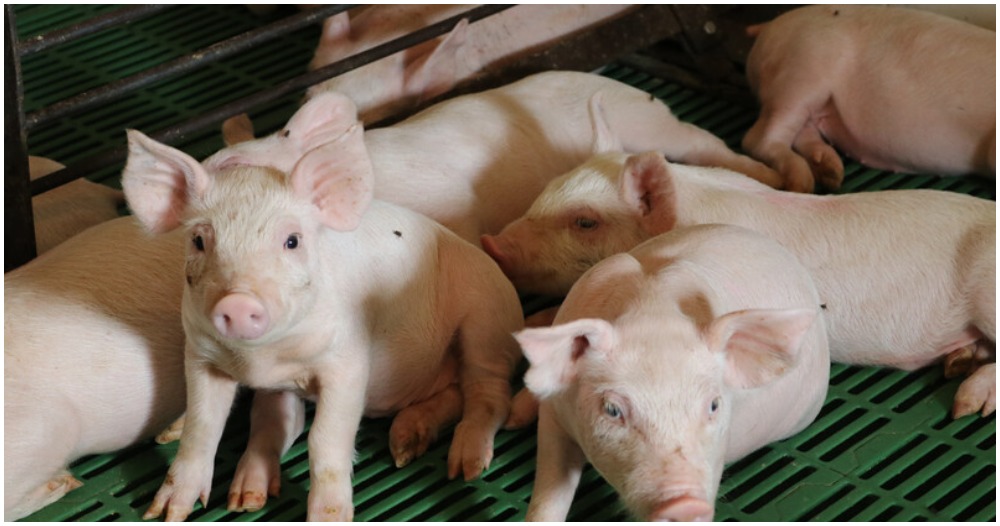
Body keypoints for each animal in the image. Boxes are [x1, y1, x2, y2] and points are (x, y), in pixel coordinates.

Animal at [122, 92, 524, 521]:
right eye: (198, 240)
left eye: (292, 241)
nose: (238, 301)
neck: (261, 360)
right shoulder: (200, 355)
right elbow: (204, 427)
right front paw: (165, 513)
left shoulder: (347, 361)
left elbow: (325, 438)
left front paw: (329, 516)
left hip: (485, 320)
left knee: (488, 392)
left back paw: (463, 466)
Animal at [483, 149, 997, 418]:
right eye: (545, 193)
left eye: (585, 221)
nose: (490, 243)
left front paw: (518, 414)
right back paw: (958, 363)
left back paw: (966, 405)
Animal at [517, 224, 830, 521]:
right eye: (612, 409)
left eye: (714, 404)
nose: (684, 504)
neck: (653, 314)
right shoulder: (553, 413)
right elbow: (549, 492)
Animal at [741, 4, 996, 193]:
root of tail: (770, 25)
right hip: (802, 70)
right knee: (756, 139)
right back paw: (802, 185)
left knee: (803, 131)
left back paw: (831, 172)